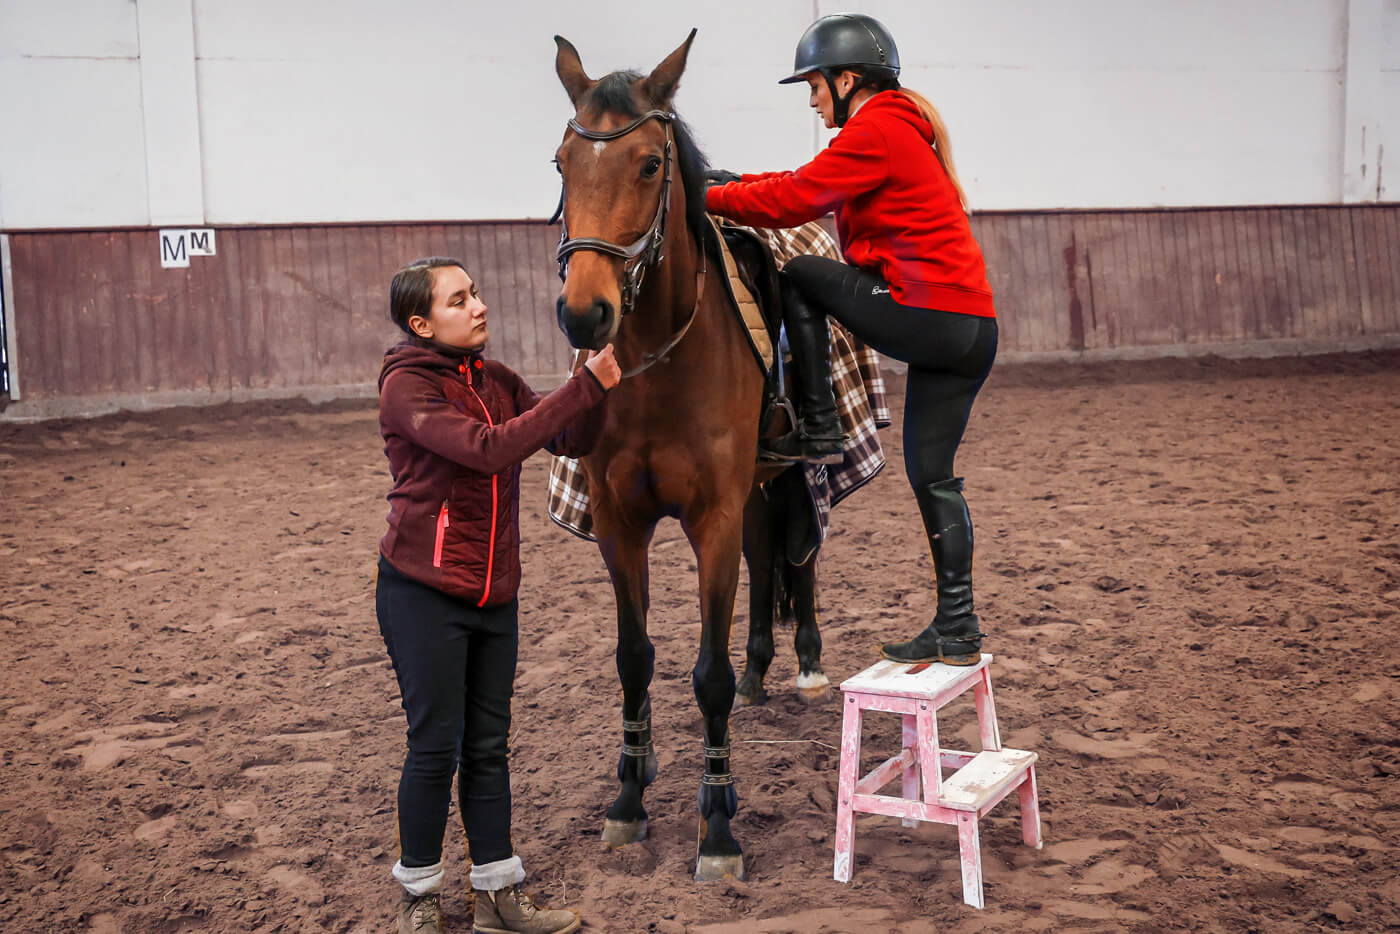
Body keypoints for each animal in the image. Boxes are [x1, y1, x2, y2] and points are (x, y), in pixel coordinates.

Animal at [548, 32, 828, 879]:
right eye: (562, 162)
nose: (585, 313)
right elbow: (634, 657)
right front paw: (628, 798)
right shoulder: (619, 524)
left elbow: (707, 673)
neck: (656, 365)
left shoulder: (713, 520)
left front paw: (718, 825)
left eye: (648, 164)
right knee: (771, 554)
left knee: (799, 555)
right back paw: (764, 669)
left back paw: (804, 664)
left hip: (783, 475)